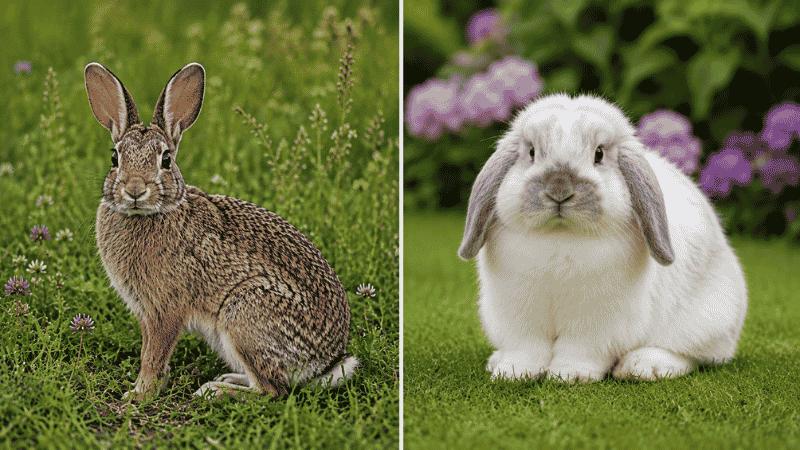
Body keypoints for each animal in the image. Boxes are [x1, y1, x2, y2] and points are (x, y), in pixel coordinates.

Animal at [84, 62, 358, 400]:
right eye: (115, 157)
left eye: (166, 159)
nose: (135, 189)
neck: (149, 214)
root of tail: (322, 365)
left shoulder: (164, 310)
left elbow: (152, 356)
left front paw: (139, 395)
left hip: (244, 315)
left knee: (272, 391)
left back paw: (214, 391)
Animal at [458, 93, 747, 383]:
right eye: (531, 152)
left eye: (599, 154)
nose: (559, 189)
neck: (560, 237)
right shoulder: (519, 316)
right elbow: (526, 349)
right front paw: (513, 373)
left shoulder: (594, 325)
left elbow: (579, 350)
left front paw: (569, 375)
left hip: (704, 324)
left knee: (691, 355)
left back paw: (642, 367)